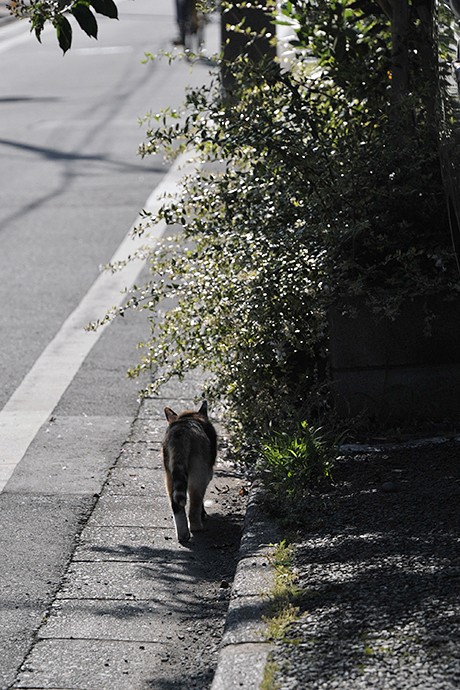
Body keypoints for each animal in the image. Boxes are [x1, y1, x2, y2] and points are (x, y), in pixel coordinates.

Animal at [164, 400, 217, 540]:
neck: (189, 416)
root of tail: (181, 432)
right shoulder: (207, 472)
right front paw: (203, 514)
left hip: (169, 474)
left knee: (176, 503)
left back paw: (183, 534)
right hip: (199, 471)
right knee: (195, 502)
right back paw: (196, 526)